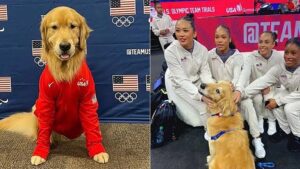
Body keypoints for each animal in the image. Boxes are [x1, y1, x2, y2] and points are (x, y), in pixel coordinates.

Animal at [0, 6, 108, 165]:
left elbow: (92, 128)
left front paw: (97, 150)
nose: (65, 46)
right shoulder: (46, 102)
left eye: (72, 26)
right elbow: (44, 130)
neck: (65, 70)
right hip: (36, 107)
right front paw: (40, 151)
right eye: (54, 27)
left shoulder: (88, 101)